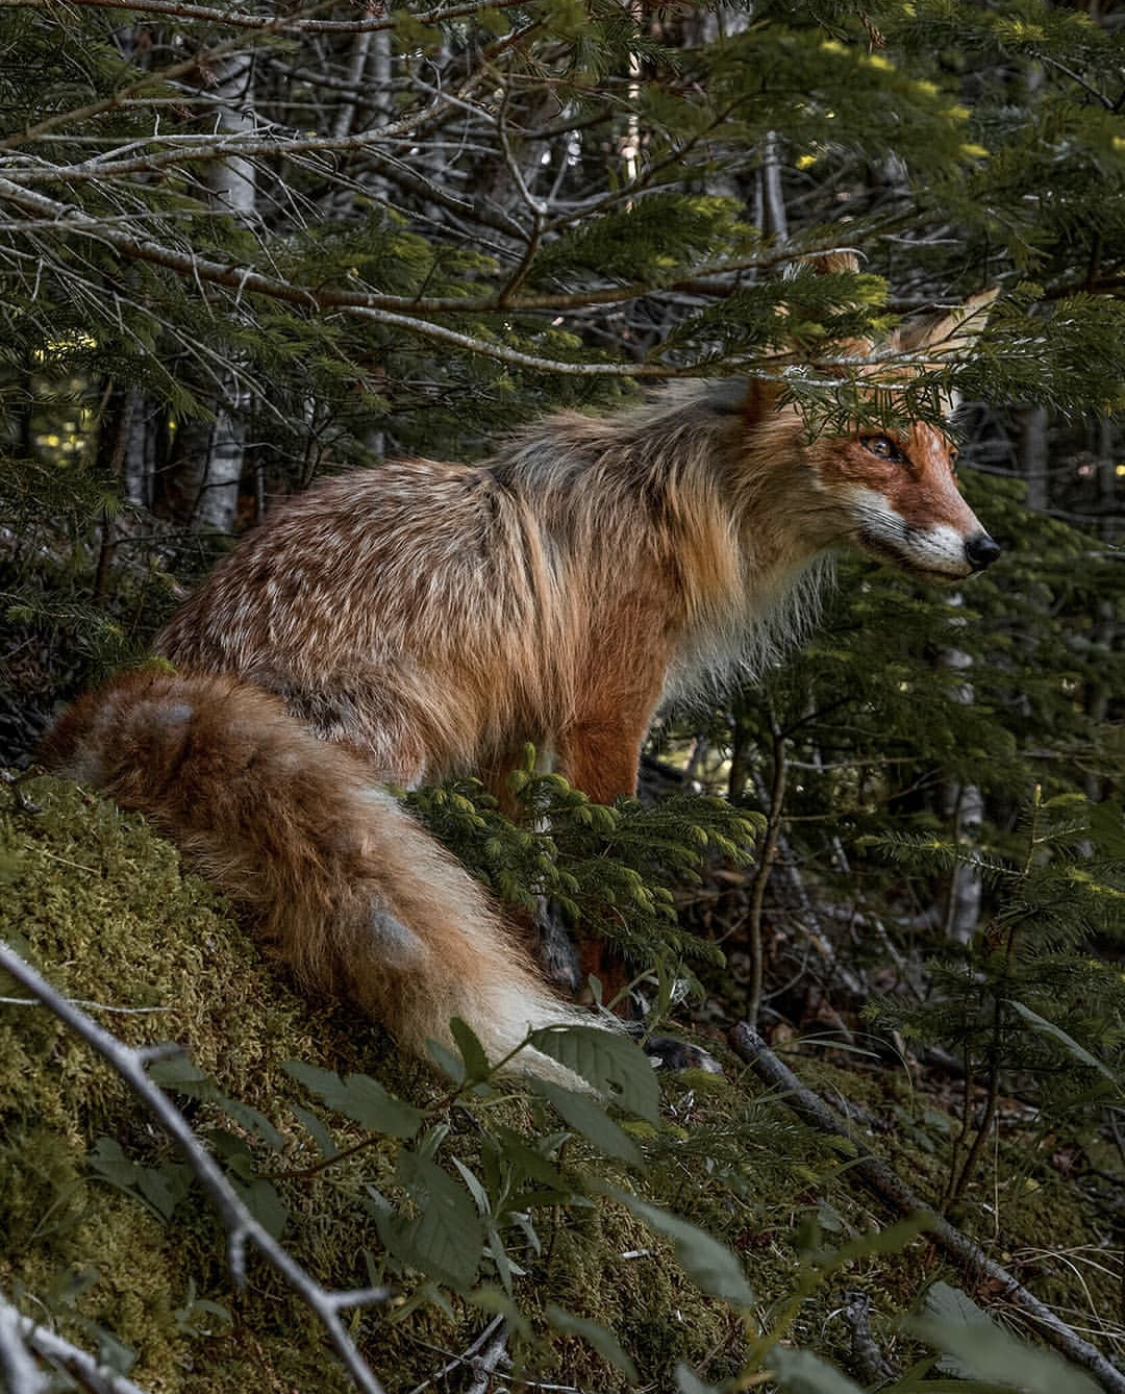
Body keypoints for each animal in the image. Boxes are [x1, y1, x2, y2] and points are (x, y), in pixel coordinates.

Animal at [39, 285, 998, 1076]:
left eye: (944, 456)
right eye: (879, 448)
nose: (985, 548)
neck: (673, 511)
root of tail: (140, 681)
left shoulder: (518, 735)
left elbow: (518, 878)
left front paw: (548, 980)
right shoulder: (606, 717)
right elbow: (607, 887)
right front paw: (632, 1028)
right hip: (393, 748)